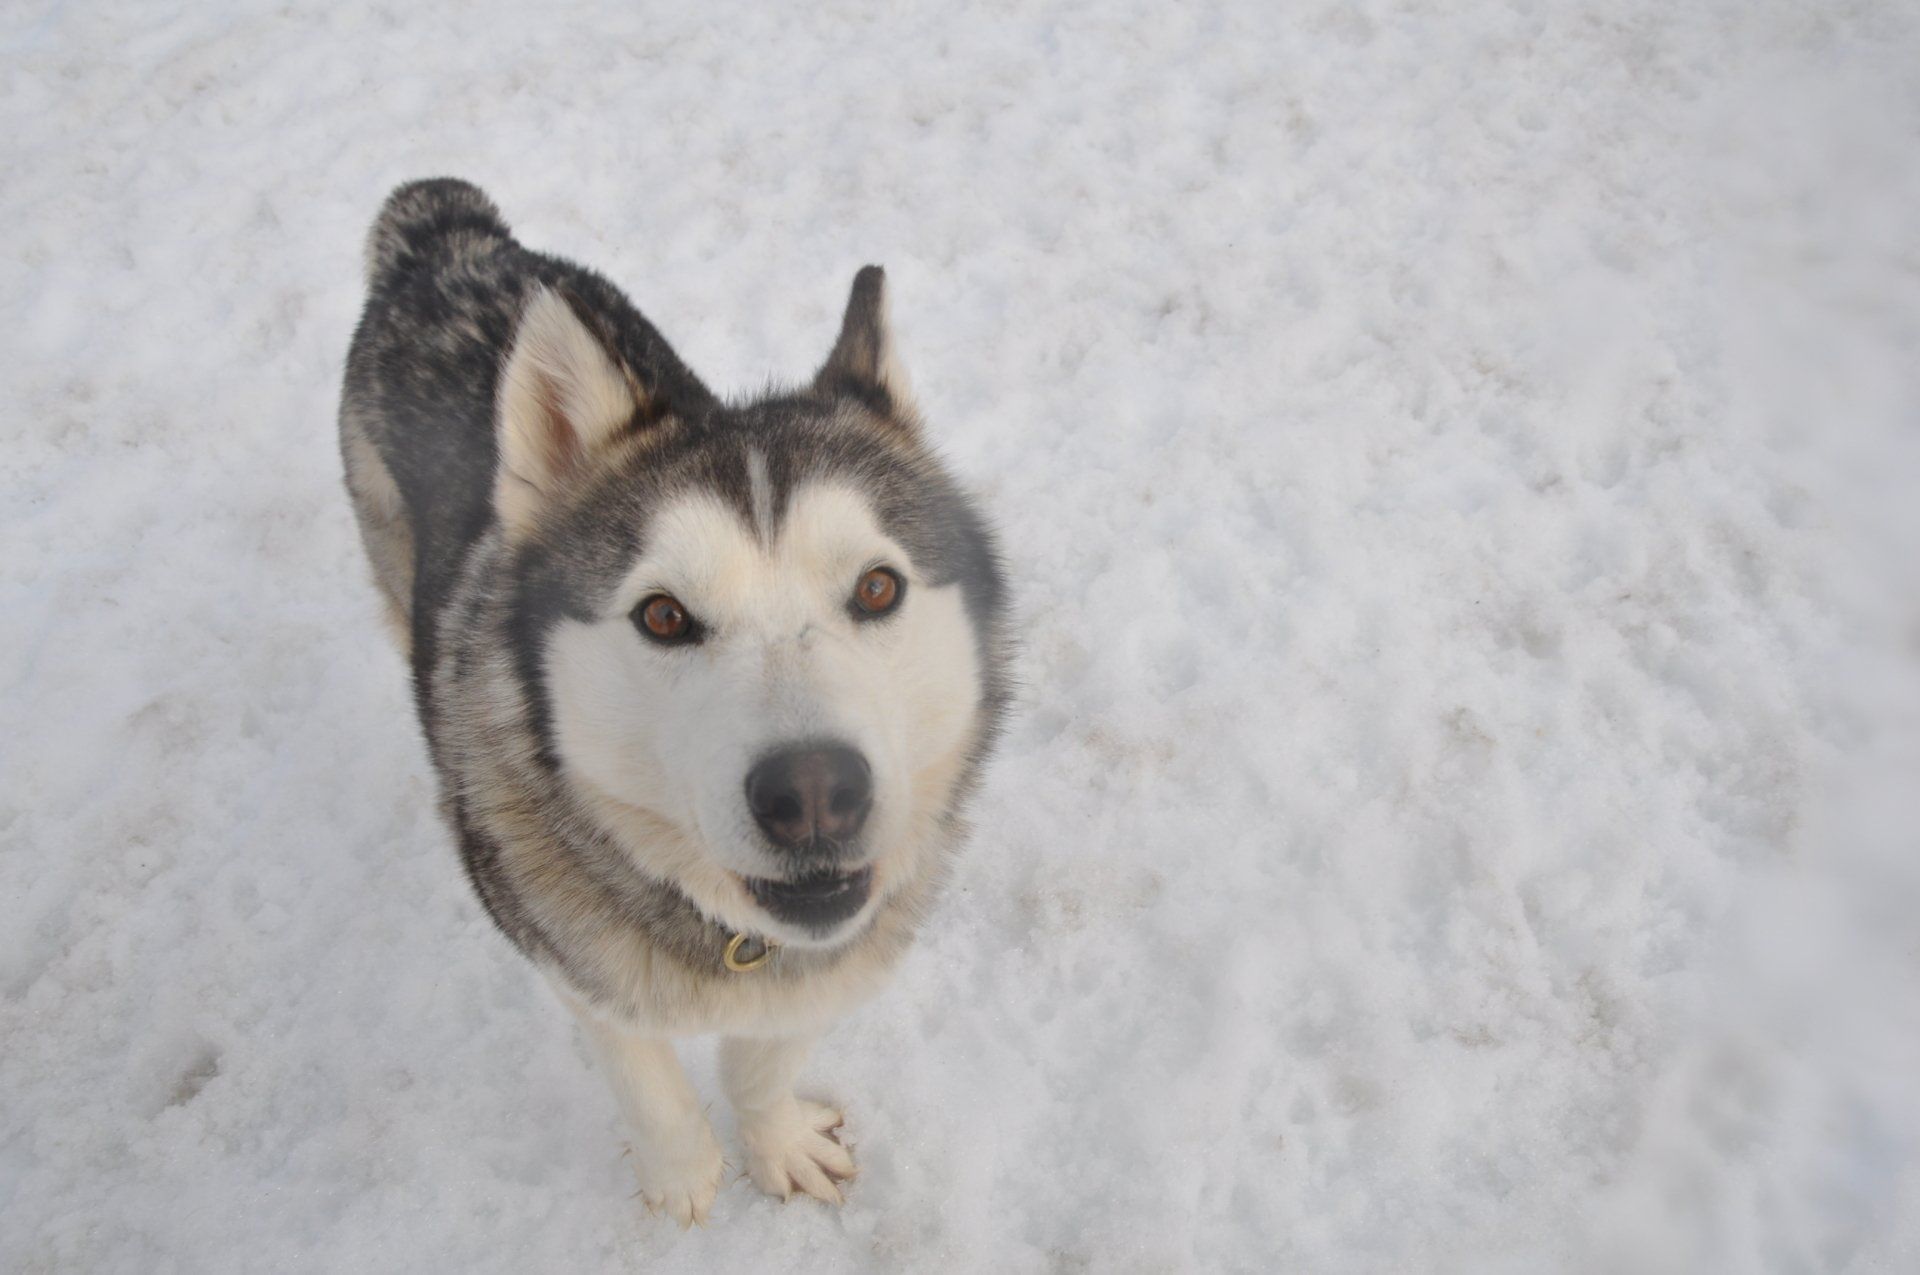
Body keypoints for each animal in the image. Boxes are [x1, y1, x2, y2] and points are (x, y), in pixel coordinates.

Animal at [337, 179, 1008, 1223]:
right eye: (663, 614)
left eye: (877, 588)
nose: (815, 794)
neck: (729, 934)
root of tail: (450, 235)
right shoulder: (563, 954)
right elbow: (644, 1076)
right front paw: (683, 1176)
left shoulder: (829, 961)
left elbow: (763, 1064)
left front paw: (773, 1145)